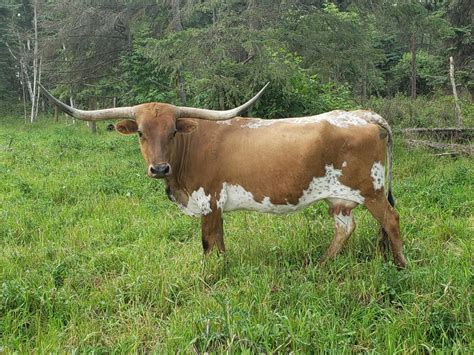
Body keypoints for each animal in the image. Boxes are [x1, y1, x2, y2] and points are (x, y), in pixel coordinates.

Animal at [39, 85, 408, 268]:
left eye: (173, 131)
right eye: (141, 133)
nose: (159, 169)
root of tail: (365, 115)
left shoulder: (208, 201)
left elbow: (207, 244)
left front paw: (209, 275)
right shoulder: (216, 207)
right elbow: (219, 241)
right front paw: (224, 268)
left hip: (372, 191)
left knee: (391, 220)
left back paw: (402, 265)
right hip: (339, 197)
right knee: (345, 227)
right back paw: (321, 264)